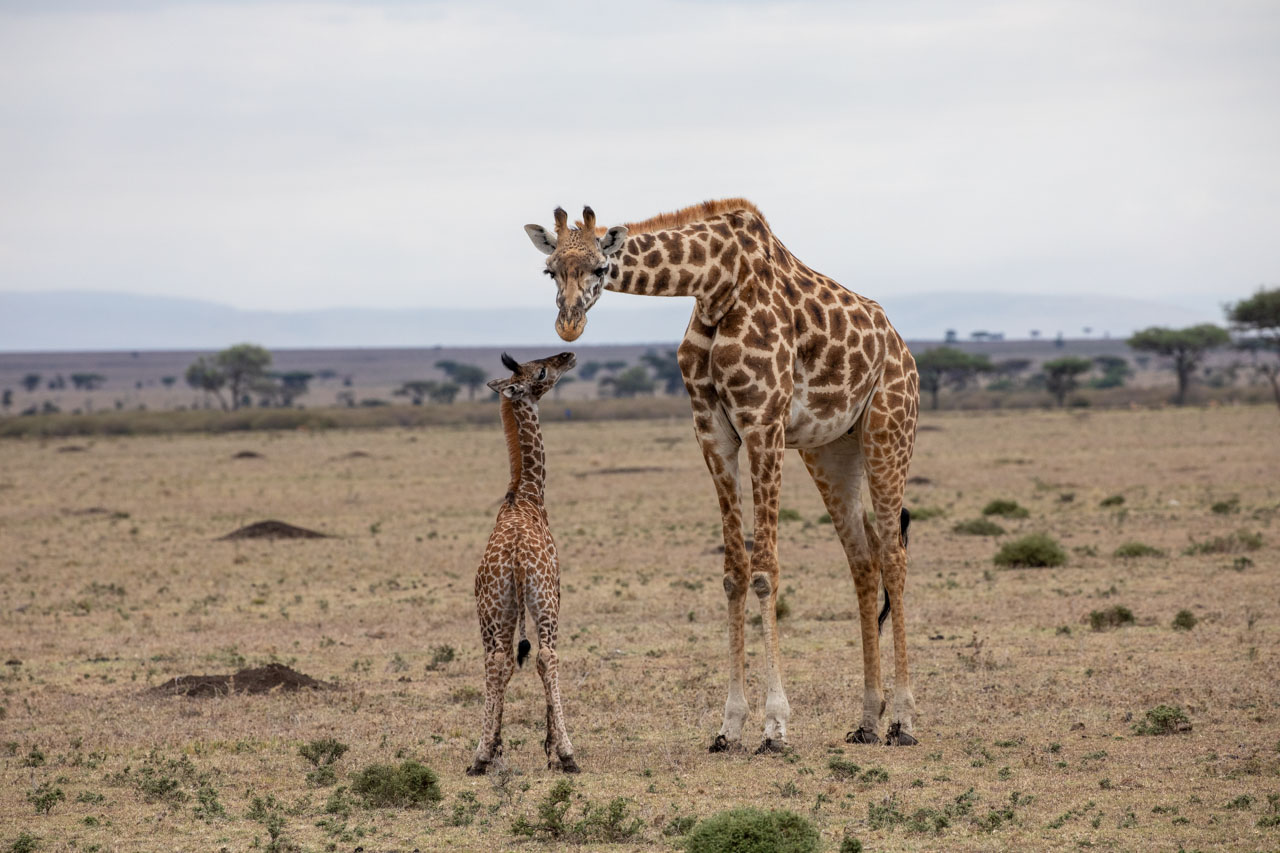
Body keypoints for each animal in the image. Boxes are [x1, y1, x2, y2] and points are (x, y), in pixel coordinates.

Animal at [468, 348, 578, 773]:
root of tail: (515, 557)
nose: (569, 354)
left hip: (492, 608)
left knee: (495, 661)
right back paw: (569, 753)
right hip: (543, 601)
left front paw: (496, 746)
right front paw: (552, 748)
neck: (526, 495)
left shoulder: (509, 609)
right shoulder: (557, 593)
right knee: (547, 656)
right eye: (542, 371)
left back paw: (480, 755)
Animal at [524, 197, 926, 742]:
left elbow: (765, 571)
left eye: (601, 267)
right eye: (550, 270)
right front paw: (729, 725)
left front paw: (775, 725)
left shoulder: (764, 423)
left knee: (894, 555)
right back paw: (867, 720)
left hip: (889, 429)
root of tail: (903, 348)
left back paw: (903, 718)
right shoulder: (711, 431)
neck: (715, 284)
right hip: (831, 450)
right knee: (863, 560)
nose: (568, 325)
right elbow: (734, 572)